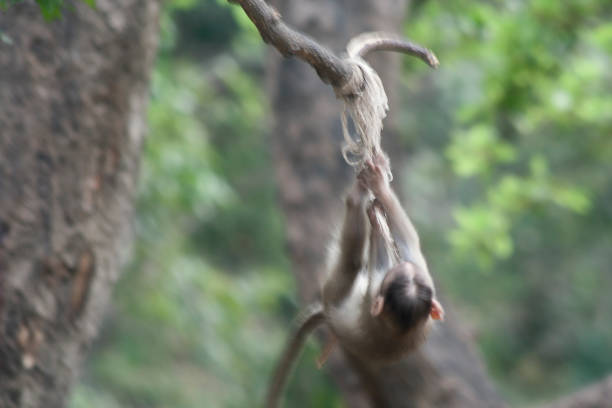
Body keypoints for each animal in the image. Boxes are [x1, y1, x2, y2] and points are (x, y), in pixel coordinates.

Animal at [266, 154, 442, 408]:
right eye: (405, 275)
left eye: (394, 279)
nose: (405, 269)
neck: (401, 330)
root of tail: (327, 315)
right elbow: (407, 245)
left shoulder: (377, 295)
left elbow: (408, 246)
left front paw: (377, 189)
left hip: (332, 292)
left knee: (352, 262)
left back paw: (357, 199)